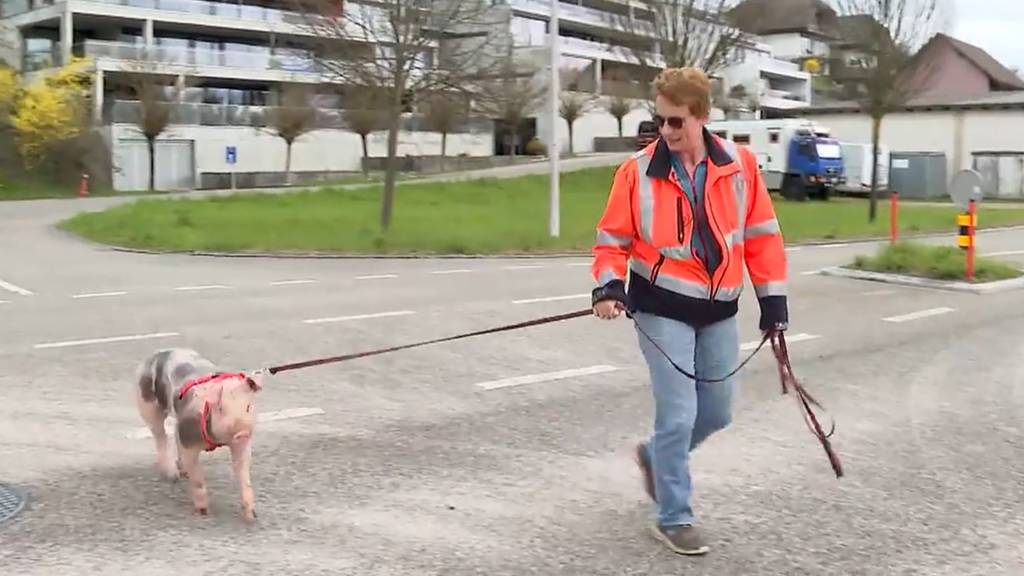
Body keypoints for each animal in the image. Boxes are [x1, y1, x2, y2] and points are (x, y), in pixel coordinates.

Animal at [134, 344, 266, 520]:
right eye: (220, 408)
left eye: (248, 406)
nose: (241, 432)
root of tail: (157, 353)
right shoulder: (188, 438)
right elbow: (197, 479)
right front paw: (203, 512)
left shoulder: (241, 445)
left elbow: (243, 474)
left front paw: (252, 516)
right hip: (147, 403)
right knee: (160, 435)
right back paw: (172, 476)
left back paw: (182, 472)